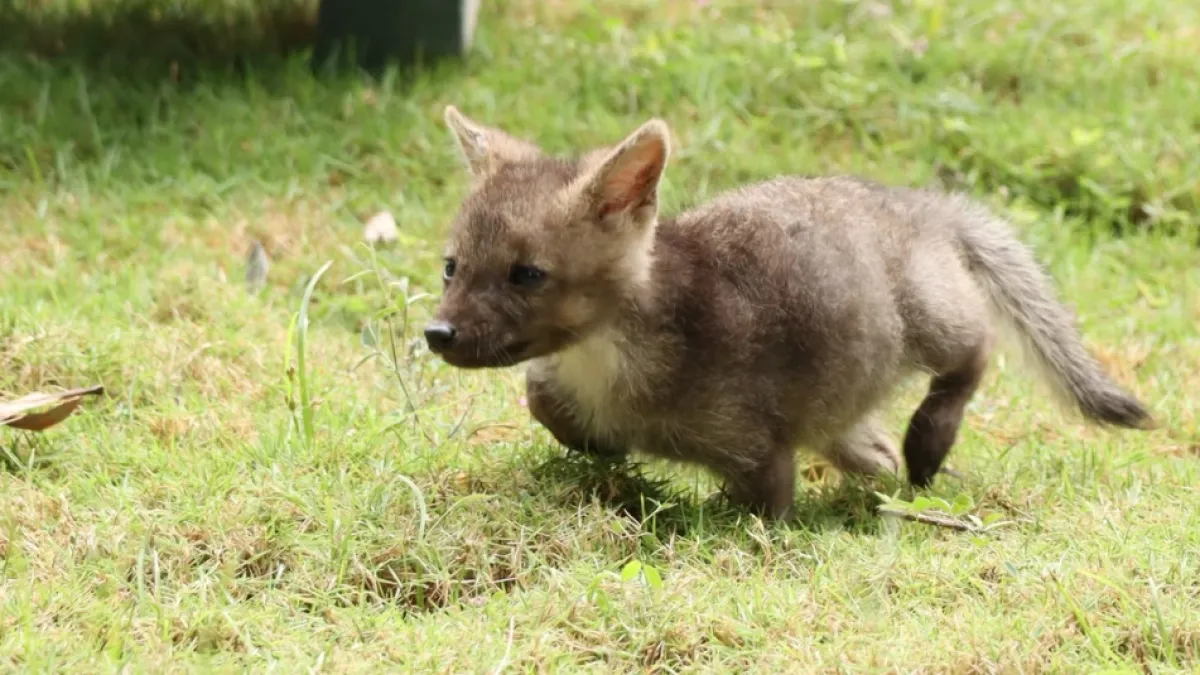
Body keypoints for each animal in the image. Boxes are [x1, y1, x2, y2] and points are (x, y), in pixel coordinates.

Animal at [423, 105, 1155, 520]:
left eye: (527, 274)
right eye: (451, 266)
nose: (437, 333)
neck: (608, 363)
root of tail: (926, 204)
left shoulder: (758, 449)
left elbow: (764, 513)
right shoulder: (563, 384)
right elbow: (542, 397)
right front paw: (598, 443)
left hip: (935, 319)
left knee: (974, 355)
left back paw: (929, 441)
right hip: (847, 401)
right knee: (874, 448)